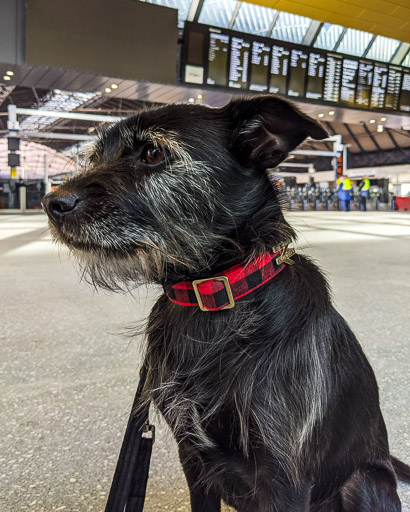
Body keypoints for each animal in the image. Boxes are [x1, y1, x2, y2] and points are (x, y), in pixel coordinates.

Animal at [43, 97, 408, 512]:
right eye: (94, 157)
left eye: (152, 152)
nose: (51, 203)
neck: (212, 296)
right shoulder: (194, 457)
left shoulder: (285, 478)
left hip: (363, 481)